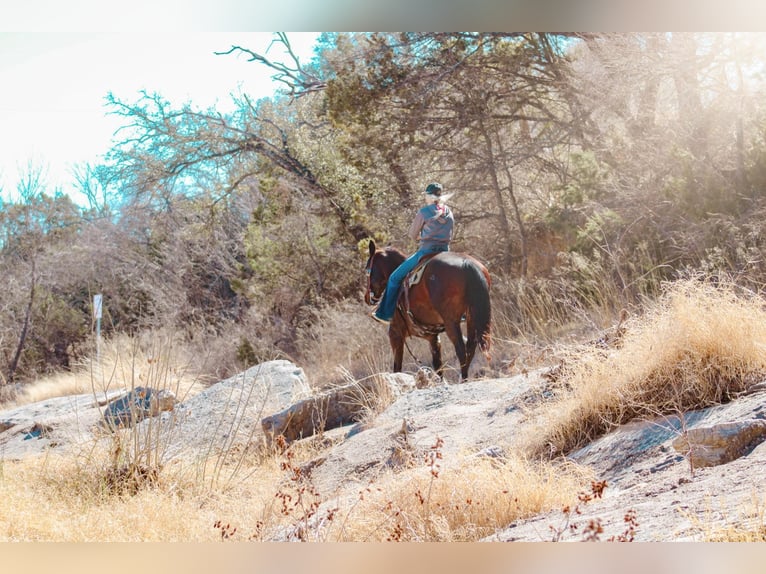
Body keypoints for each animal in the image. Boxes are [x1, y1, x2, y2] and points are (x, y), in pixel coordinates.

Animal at [364, 240, 492, 382]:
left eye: (367, 268)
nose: (367, 298)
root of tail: (467, 264)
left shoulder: (395, 334)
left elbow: (397, 367)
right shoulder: (433, 337)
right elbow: (438, 366)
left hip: (451, 321)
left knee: (461, 350)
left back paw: (463, 379)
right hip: (471, 318)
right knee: (470, 348)